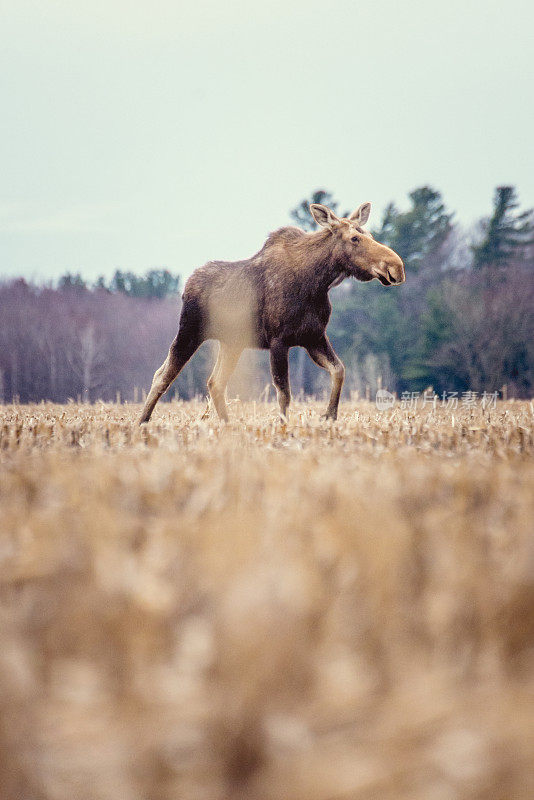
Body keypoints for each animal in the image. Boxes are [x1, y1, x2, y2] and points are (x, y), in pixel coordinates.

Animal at [139, 202, 406, 424]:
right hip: (189, 332)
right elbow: (284, 392)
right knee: (162, 375)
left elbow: (339, 370)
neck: (317, 283)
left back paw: (227, 425)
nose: (397, 267)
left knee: (215, 382)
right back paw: (142, 422)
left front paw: (329, 415)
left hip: (232, 343)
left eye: (370, 235)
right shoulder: (279, 339)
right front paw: (283, 427)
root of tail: (186, 285)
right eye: (354, 238)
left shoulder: (313, 337)